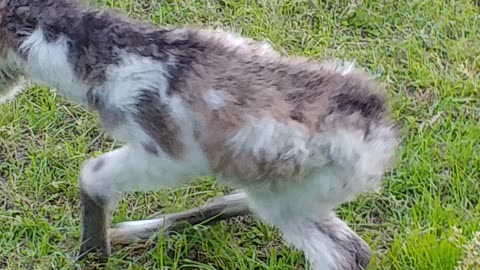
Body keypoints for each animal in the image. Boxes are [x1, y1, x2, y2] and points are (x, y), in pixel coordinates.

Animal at [0, 1, 398, 268]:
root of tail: (378, 137)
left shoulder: (166, 153)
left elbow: (91, 174)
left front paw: (91, 255)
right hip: (286, 193)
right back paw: (131, 231)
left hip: (287, 195)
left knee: (345, 253)